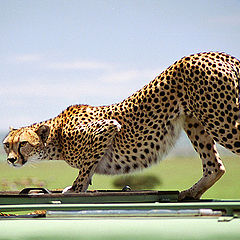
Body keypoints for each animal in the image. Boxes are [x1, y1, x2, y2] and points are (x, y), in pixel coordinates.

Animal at [2, 52, 240, 199]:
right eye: (6, 145)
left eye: (22, 143)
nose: (11, 160)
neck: (57, 136)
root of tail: (215, 54)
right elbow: (88, 169)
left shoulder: (106, 128)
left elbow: (85, 168)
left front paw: (75, 189)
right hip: (195, 120)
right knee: (215, 166)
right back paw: (190, 193)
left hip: (221, 119)